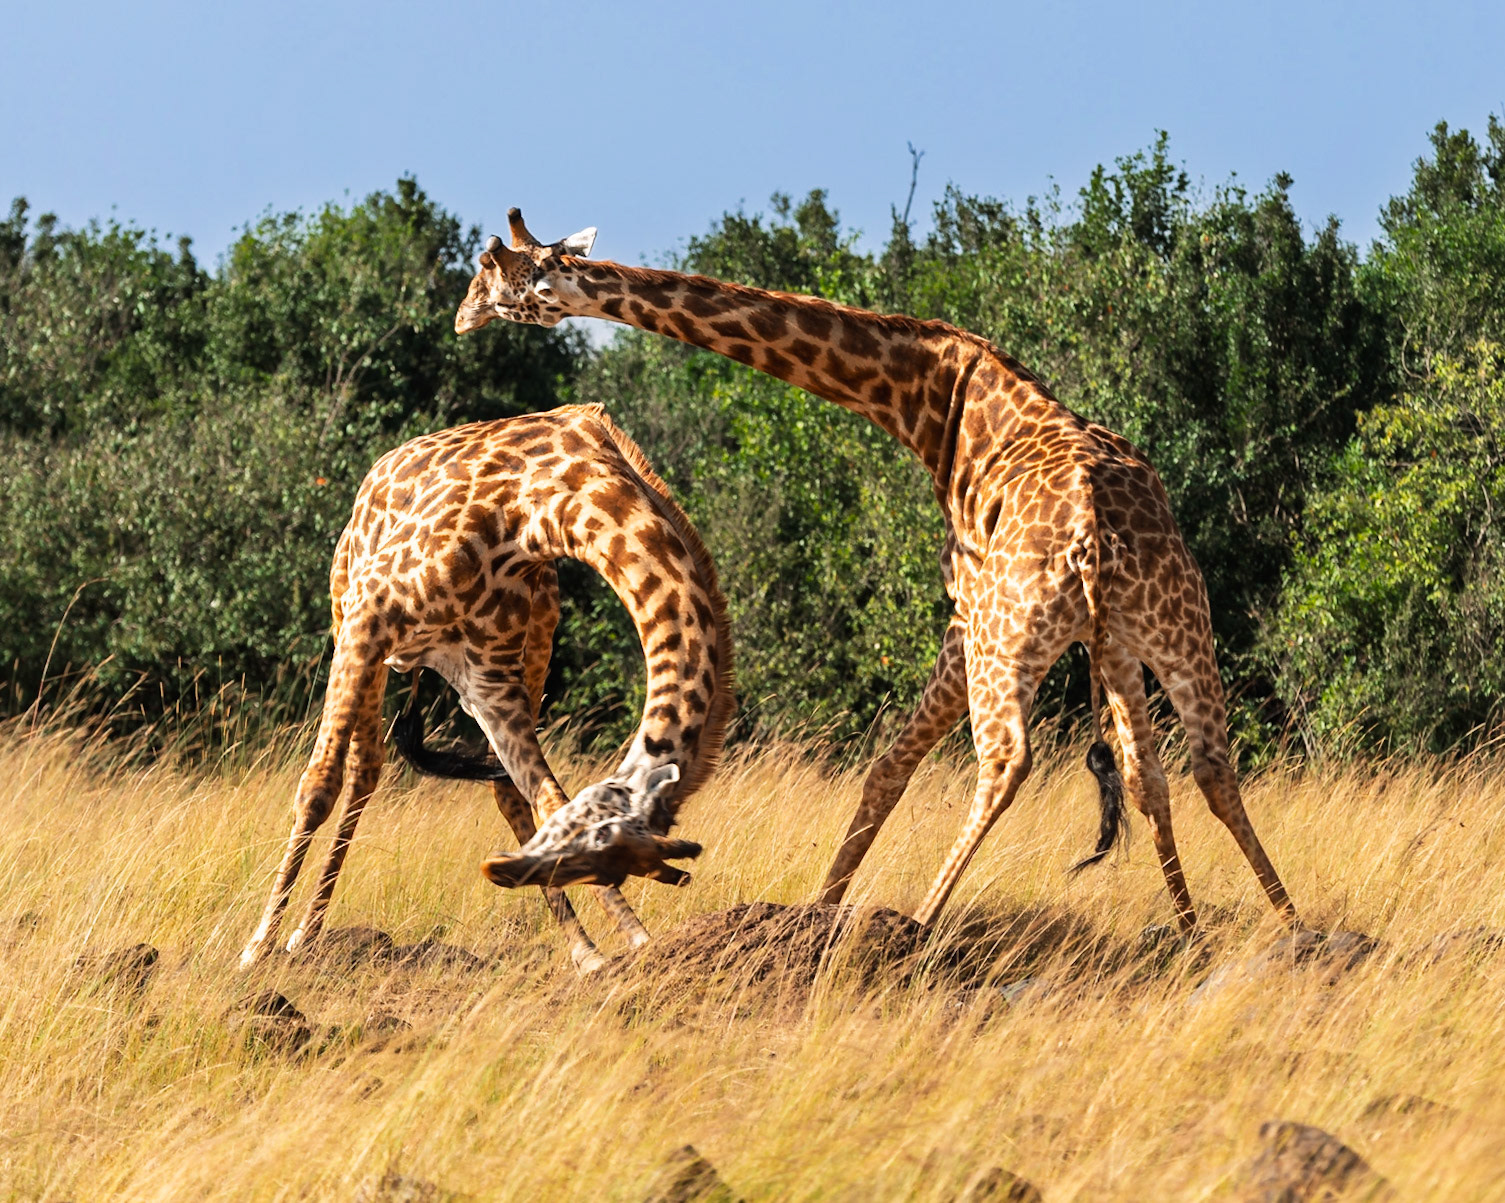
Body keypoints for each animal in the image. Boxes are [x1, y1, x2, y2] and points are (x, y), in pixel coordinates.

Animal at [239, 403, 734, 972]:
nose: (501, 871)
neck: (548, 510)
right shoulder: (371, 613)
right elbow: (317, 785)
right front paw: (256, 947)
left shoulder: (488, 680)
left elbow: (548, 798)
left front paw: (627, 944)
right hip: (351, 621)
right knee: (362, 769)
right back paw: (302, 935)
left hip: (527, 655)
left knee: (498, 787)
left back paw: (583, 948)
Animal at [452, 209, 1301, 935]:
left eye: (492, 274)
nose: (461, 319)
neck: (939, 407)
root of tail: (1091, 532)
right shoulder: (1113, 638)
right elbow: (1145, 776)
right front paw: (1187, 926)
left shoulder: (963, 610)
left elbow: (887, 767)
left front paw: (822, 908)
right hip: (1175, 625)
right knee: (1208, 763)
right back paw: (1292, 925)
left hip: (1009, 634)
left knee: (1005, 761)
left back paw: (920, 924)